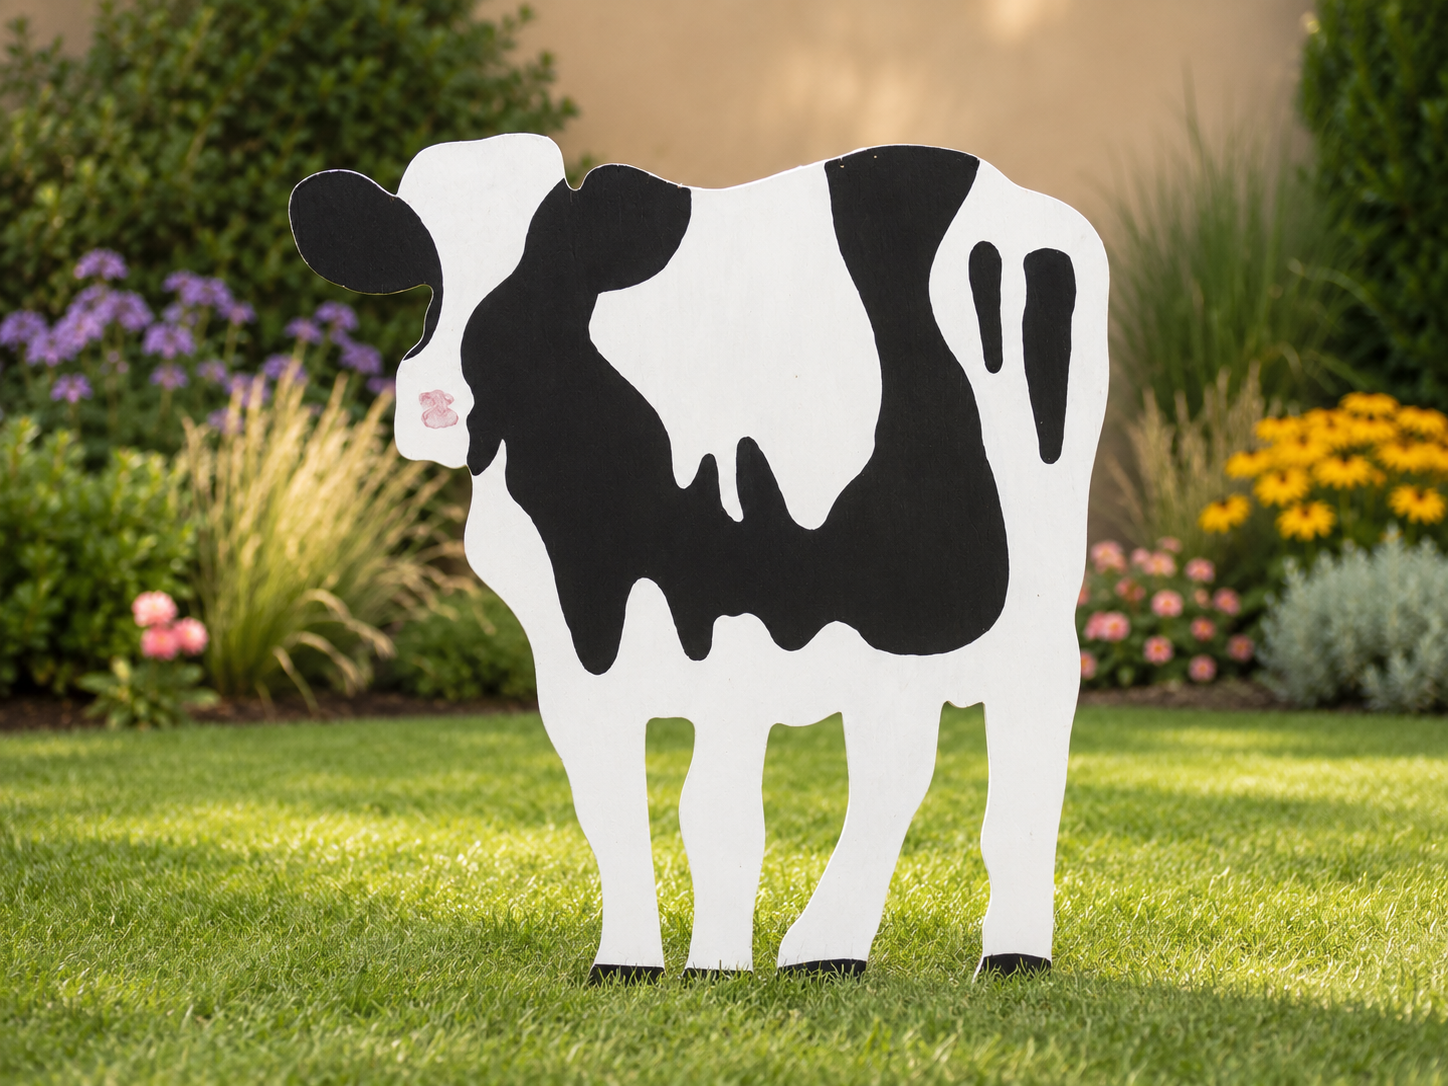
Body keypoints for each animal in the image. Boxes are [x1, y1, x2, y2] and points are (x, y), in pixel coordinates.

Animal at [289, 133, 1108, 982]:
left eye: (549, 269)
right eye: (424, 270)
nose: (435, 405)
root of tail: (1012, 191)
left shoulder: (734, 625)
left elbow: (714, 812)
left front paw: (715, 967)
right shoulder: (566, 652)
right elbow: (606, 803)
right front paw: (625, 964)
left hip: (1031, 596)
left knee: (1031, 738)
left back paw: (1012, 953)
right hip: (892, 607)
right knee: (897, 761)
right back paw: (828, 949)